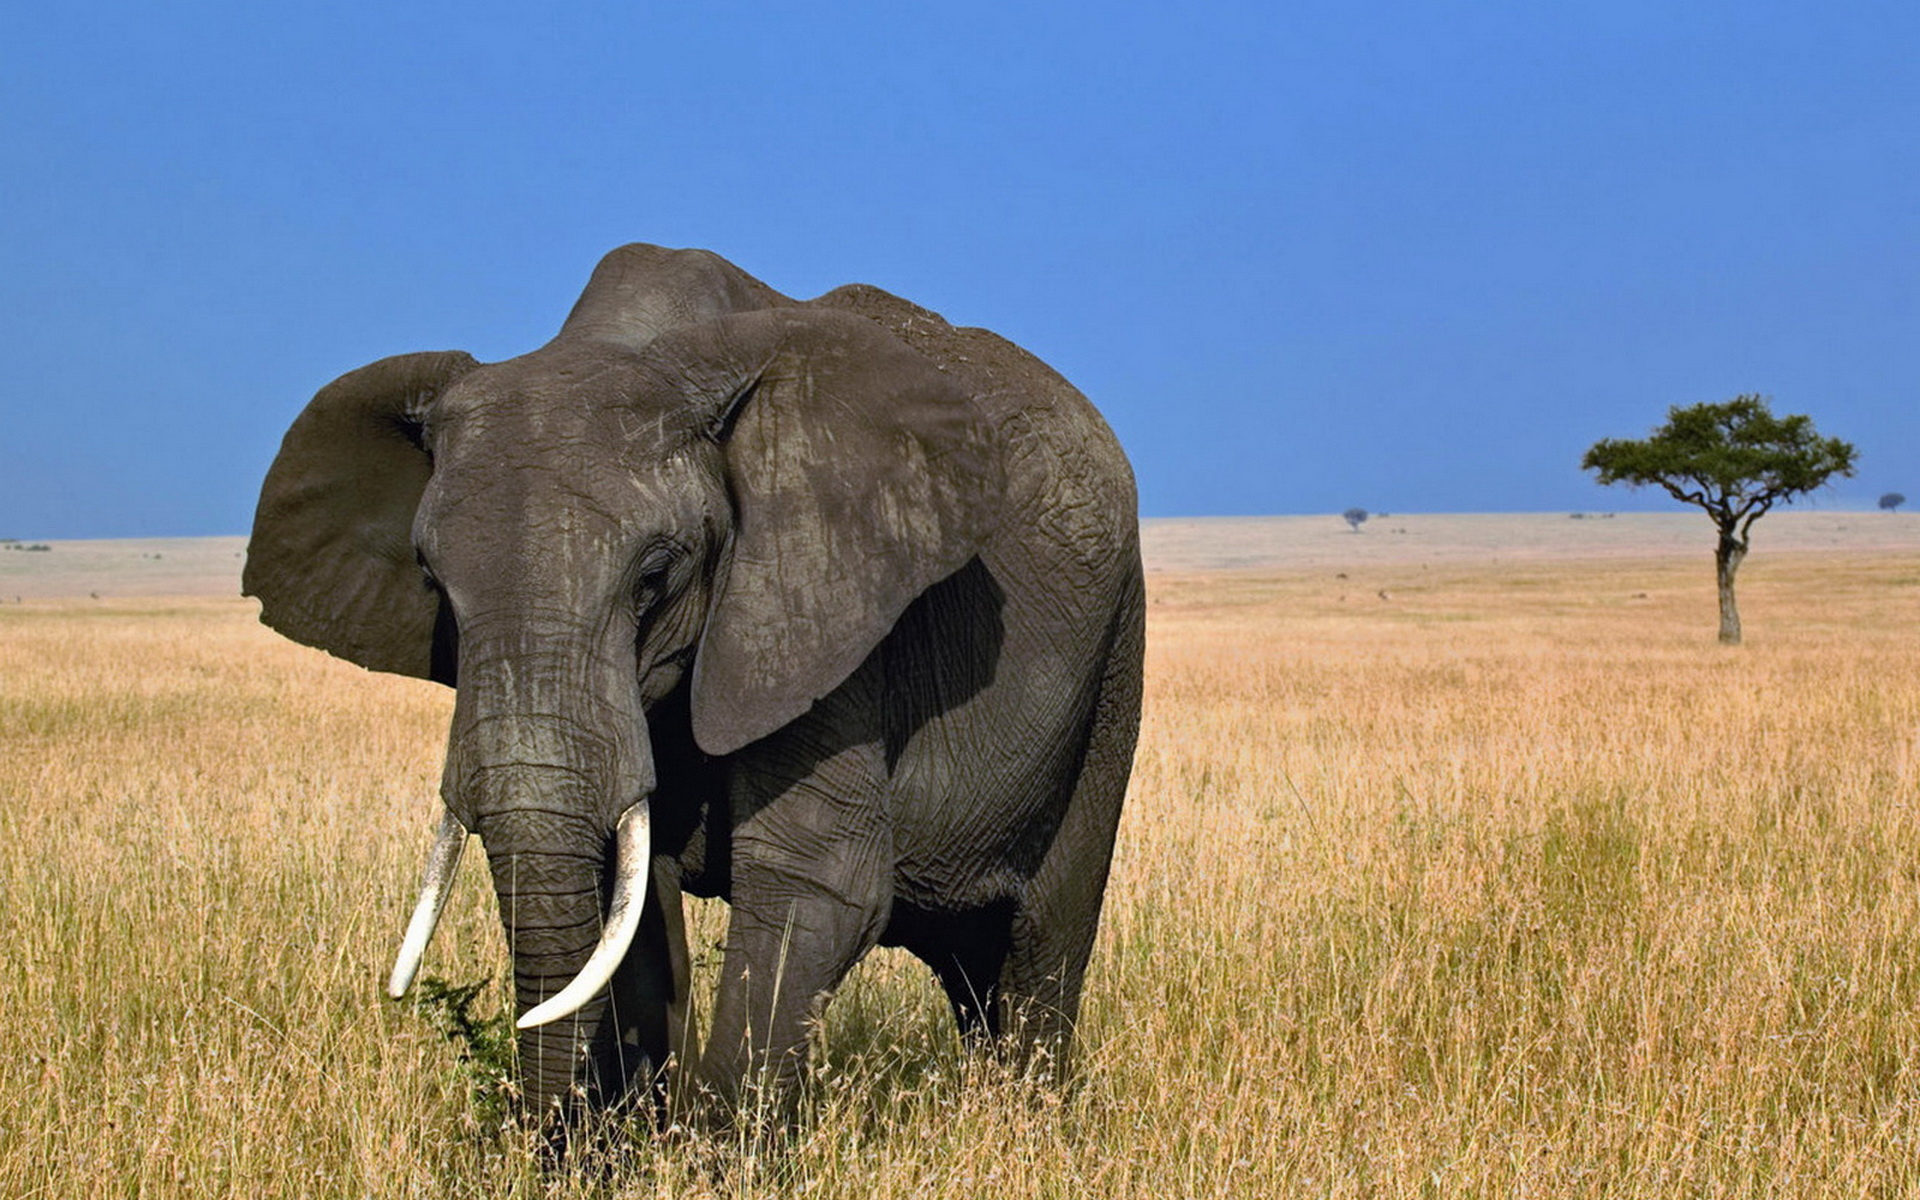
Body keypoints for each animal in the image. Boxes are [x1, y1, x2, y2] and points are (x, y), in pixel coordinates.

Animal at [240, 243, 1136, 1121]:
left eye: (654, 577)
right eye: (432, 580)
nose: (547, 1133)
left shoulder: (820, 601)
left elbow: (817, 877)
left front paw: (710, 1145)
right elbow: (628, 900)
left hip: (1113, 665)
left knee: (1039, 947)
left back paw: (1027, 1120)